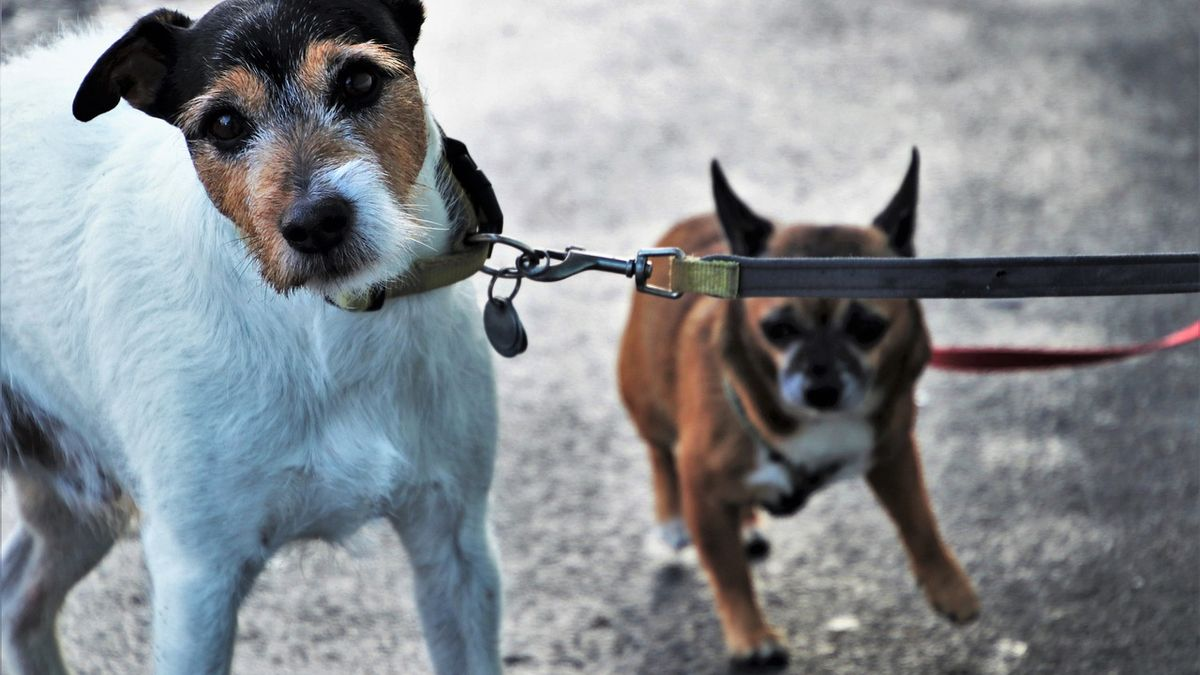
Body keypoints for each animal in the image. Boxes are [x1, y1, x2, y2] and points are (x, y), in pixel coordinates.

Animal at [0, 2, 501, 667]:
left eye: (360, 81)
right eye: (224, 123)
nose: (315, 224)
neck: (326, 323)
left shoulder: (455, 539)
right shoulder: (196, 578)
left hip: (76, 491)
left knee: (17, 598)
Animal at [624, 149, 979, 662]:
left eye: (868, 328)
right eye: (778, 329)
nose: (821, 389)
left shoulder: (892, 453)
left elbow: (920, 519)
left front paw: (949, 586)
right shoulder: (703, 489)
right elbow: (729, 573)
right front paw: (751, 635)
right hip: (647, 400)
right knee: (659, 453)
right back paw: (672, 519)